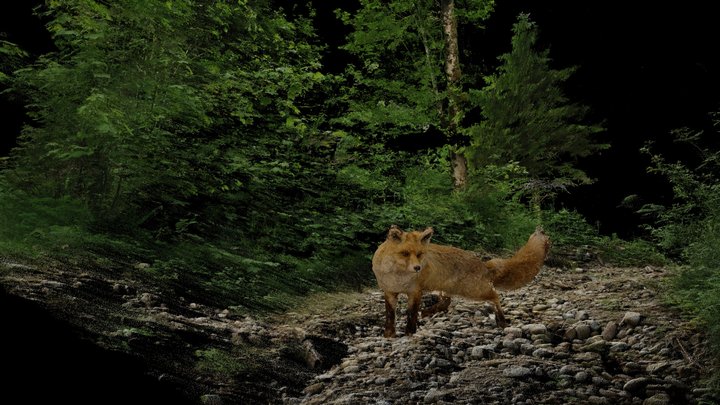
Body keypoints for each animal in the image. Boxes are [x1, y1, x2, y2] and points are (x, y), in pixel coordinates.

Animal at [371, 225, 551, 338]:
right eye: (405, 253)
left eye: (420, 254)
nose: (417, 268)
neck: (398, 277)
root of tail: (483, 264)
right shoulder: (389, 292)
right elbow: (390, 316)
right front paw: (389, 335)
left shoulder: (415, 292)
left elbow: (411, 315)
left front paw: (409, 333)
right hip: (443, 289)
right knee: (446, 302)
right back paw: (429, 311)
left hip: (473, 291)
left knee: (495, 296)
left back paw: (501, 320)